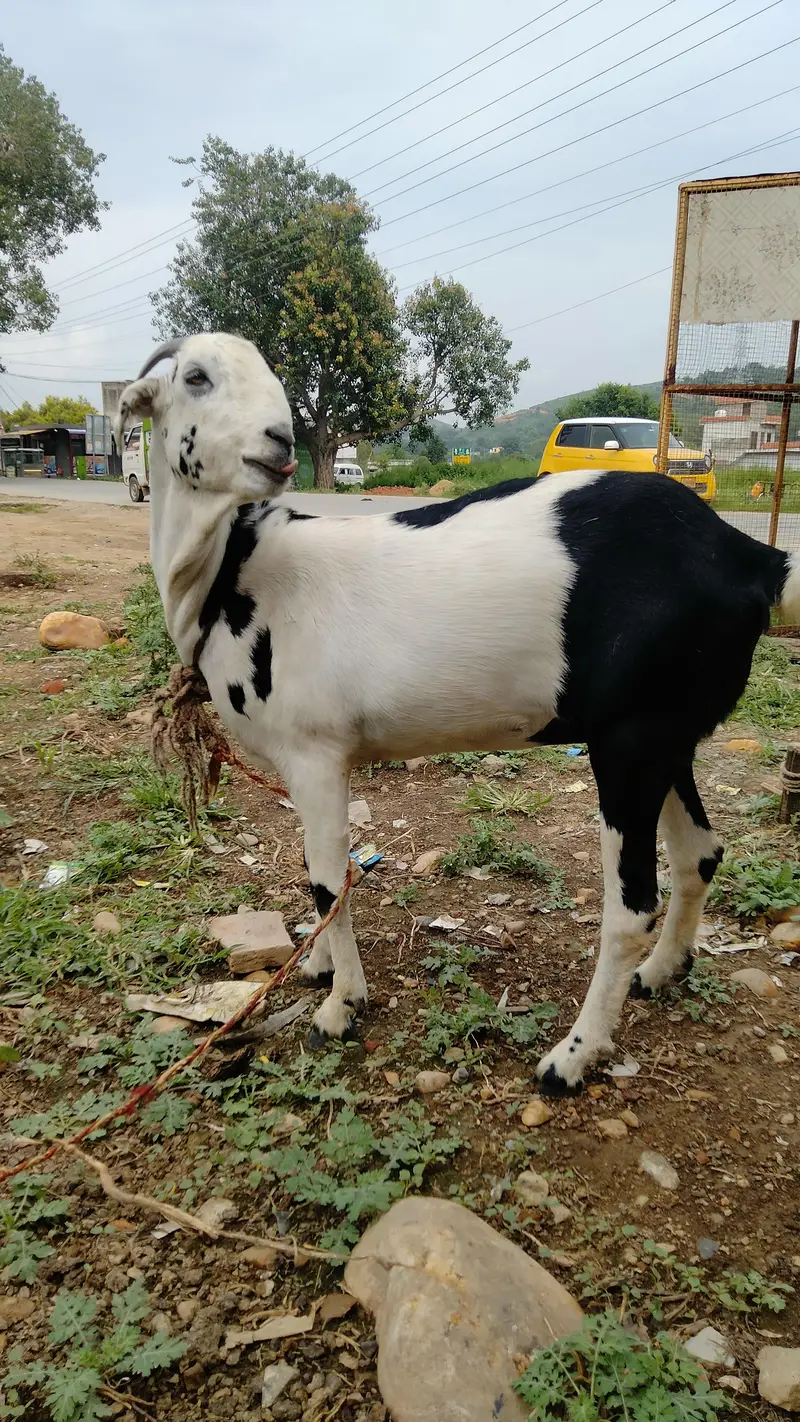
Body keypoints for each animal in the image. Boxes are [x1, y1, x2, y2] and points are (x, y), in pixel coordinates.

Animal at [116, 333, 800, 1096]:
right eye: (196, 378)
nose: (279, 442)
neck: (241, 568)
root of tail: (753, 559)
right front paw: (318, 967)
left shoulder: (317, 754)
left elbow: (328, 881)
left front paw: (341, 1005)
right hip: (666, 732)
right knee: (700, 854)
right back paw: (661, 972)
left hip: (630, 741)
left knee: (631, 909)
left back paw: (573, 1056)